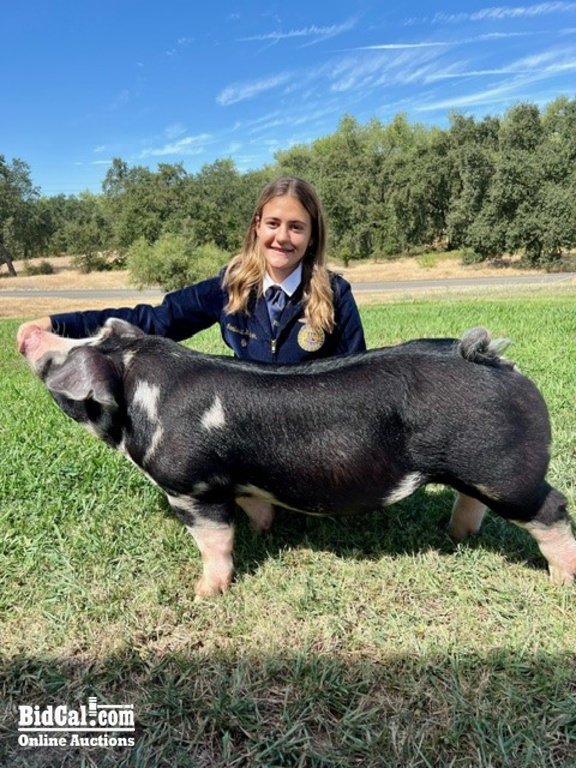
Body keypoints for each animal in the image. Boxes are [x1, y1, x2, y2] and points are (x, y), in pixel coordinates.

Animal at [19, 319, 576, 597]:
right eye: (89, 334)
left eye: (60, 359)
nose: (26, 332)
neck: (143, 394)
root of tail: (496, 362)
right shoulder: (236, 481)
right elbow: (254, 508)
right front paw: (266, 530)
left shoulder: (190, 486)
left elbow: (215, 542)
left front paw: (202, 594)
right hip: (478, 471)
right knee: (474, 502)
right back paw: (456, 537)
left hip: (504, 470)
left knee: (553, 509)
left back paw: (559, 582)